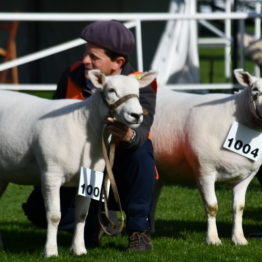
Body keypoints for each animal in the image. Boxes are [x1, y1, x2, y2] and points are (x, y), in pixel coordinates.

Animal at [151, 69, 262, 246]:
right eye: (255, 90)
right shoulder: (204, 170)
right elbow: (212, 206)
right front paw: (213, 239)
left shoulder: (247, 175)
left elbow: (239, 207)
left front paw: (239, 238)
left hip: (159, 169)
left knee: (152, 197)